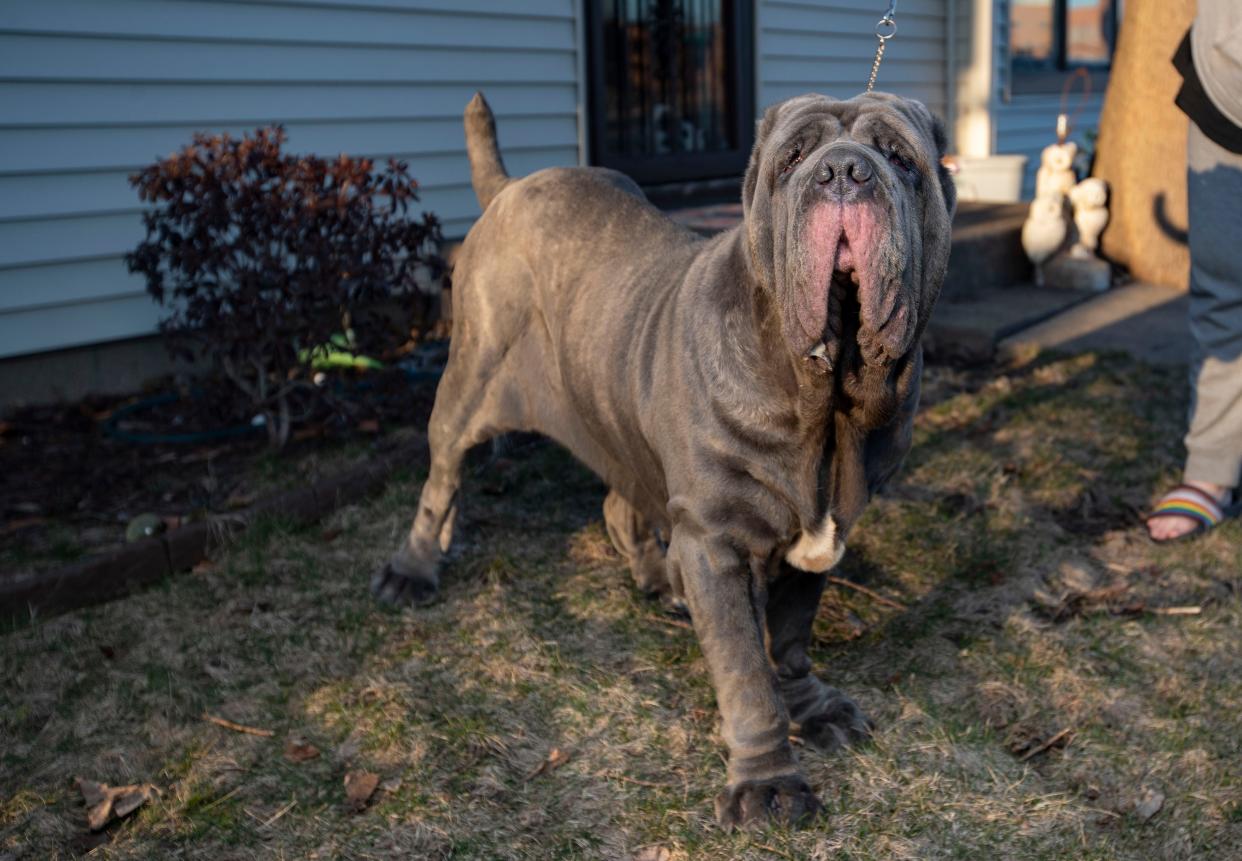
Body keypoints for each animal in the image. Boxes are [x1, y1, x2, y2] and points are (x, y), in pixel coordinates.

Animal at [372, 92, 953, 824]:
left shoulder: (821, 537)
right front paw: (767, 782)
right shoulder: (715, 539)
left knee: (620, 500)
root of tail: (509, 188)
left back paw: (657, 576)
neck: (824, 405)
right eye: (793, 159)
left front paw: (812, 709)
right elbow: (746, 671)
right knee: (442, 478)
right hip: (470, 382)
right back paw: (411, 570)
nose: (845, 171)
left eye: (901, 159)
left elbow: (789, 642)